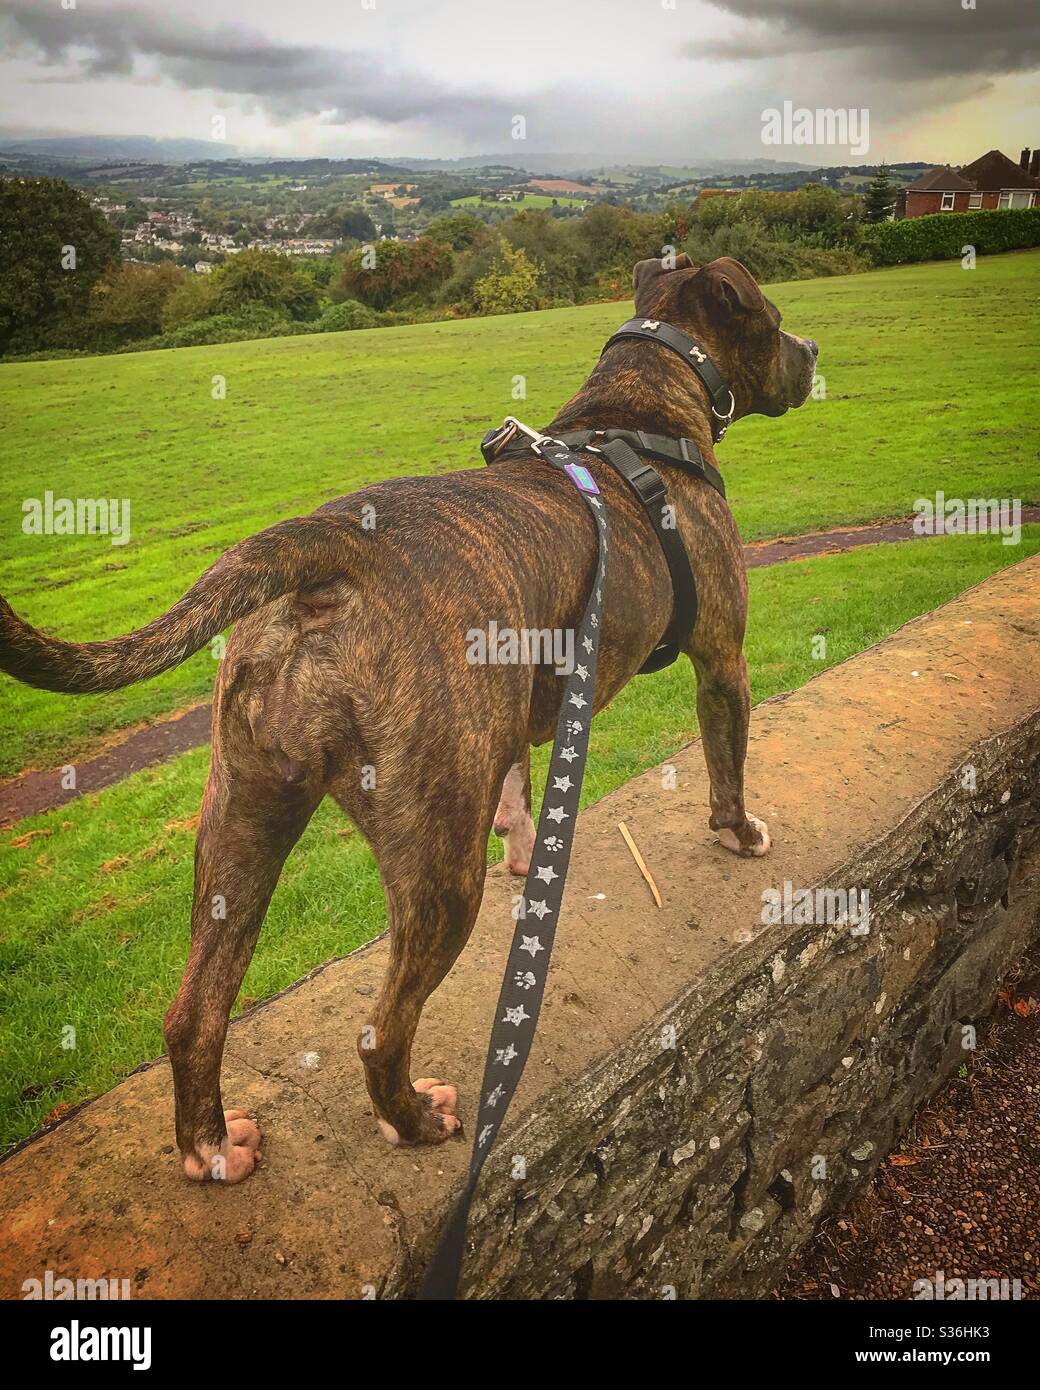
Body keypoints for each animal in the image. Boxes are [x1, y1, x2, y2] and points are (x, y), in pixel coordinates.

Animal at [0, 255, 817, 1178]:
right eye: (775, 320)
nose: (815, 349)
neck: (635, 416)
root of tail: (331, 550)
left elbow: (519, 780)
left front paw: (526, 846)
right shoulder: (723, 661)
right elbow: (727, 756)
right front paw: (739, 831)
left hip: (242, 817)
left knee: (194, 1011)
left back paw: (211, 1148)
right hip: (437, 868)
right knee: (381, 1030)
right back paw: (415, 1119)